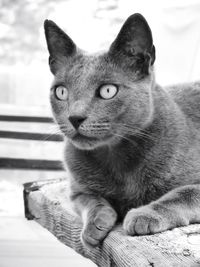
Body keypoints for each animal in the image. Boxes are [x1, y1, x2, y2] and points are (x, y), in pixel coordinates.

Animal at [43, 13, 200, 249]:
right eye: (61, 92)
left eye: (108, 91)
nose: (75, 117)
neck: (115, 158)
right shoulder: (76, 190)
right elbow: (90, 200)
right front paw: (95, 224)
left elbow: (183, 193)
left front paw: (144, 215)